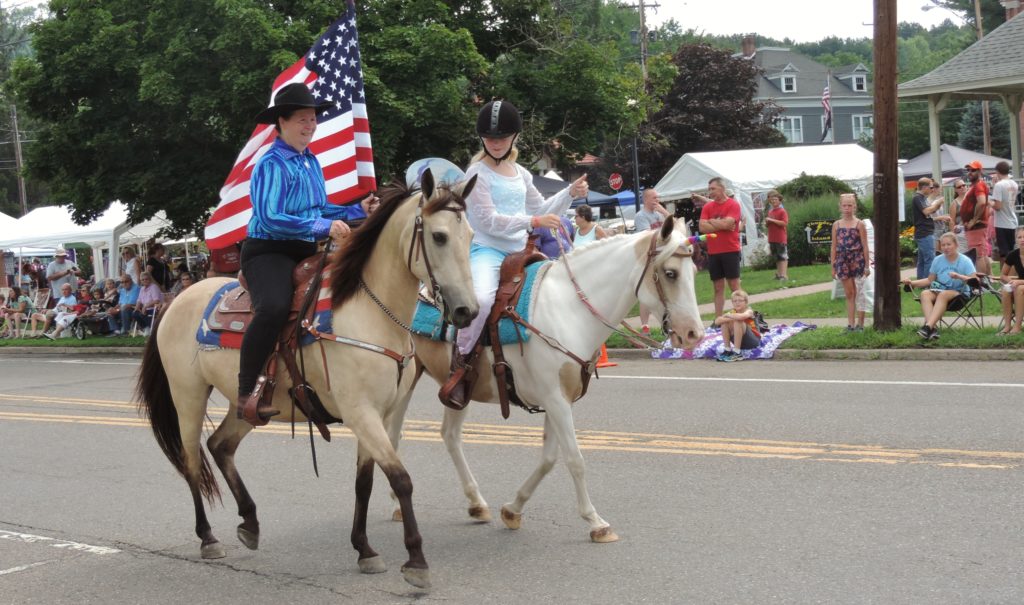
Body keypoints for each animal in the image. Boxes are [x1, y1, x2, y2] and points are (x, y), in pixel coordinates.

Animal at [135, 171, 479, 593]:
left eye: (470, 236)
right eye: (439, 236)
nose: (467, 311)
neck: (368, 312)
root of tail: (175, 299)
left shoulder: (379, 414)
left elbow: (365, 481)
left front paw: (364, 549)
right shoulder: (360, 412)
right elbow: (400, 479)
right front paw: (416, 561)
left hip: (247, 405)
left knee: (220, 446)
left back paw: (250, 523)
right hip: (188, 395)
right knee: (191, 459)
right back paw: (208, 538)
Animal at [391, 217, 704, 544]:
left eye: (694, 272)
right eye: (670, 273)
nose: (694, 334)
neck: (570, 311)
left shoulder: (559, 401)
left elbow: (549, 459)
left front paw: (513, 510)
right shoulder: (555, 400)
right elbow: (575, 460)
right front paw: (596, 522)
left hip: (458, 391)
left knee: (449, 436)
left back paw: (476, 504)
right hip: (404, 382)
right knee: (393, 433)